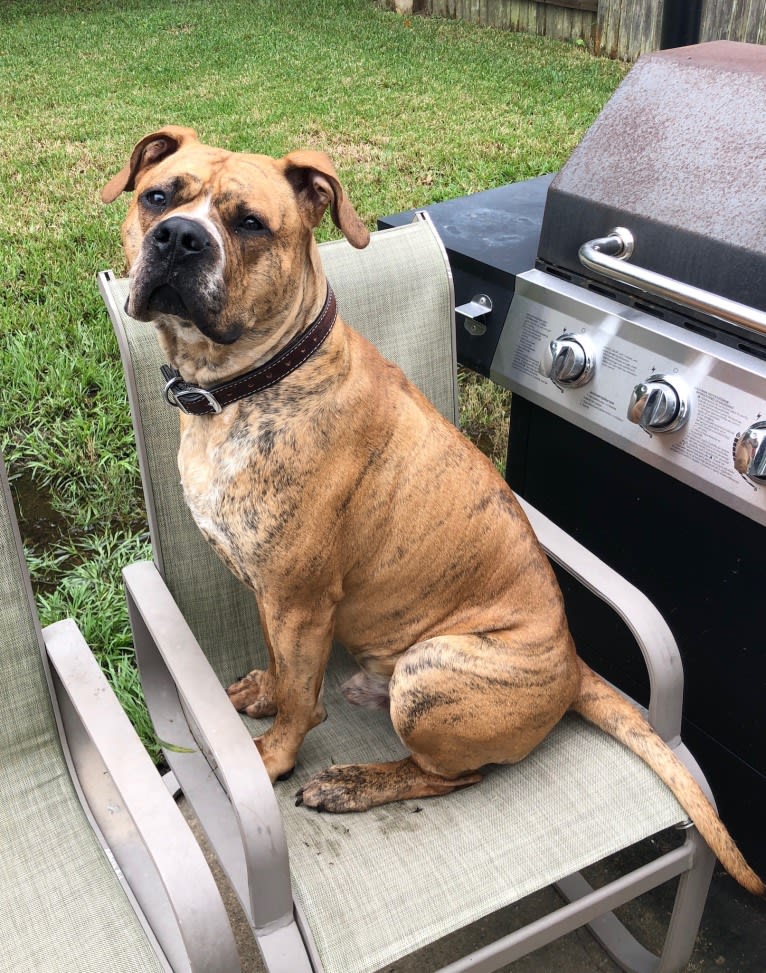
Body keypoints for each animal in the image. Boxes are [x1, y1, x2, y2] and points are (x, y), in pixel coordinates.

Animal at [103, 129, 766, 896]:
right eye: (158, 197)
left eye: (250, 224)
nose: (180, 237)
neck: (246, 383)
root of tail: (574, 669)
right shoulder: (273, 595)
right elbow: (280, 667)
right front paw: (264, 691)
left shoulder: (301, 600)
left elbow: (303, 702)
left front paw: (273, 756)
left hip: (428, 673)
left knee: (452, 776)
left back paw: (353, 784)